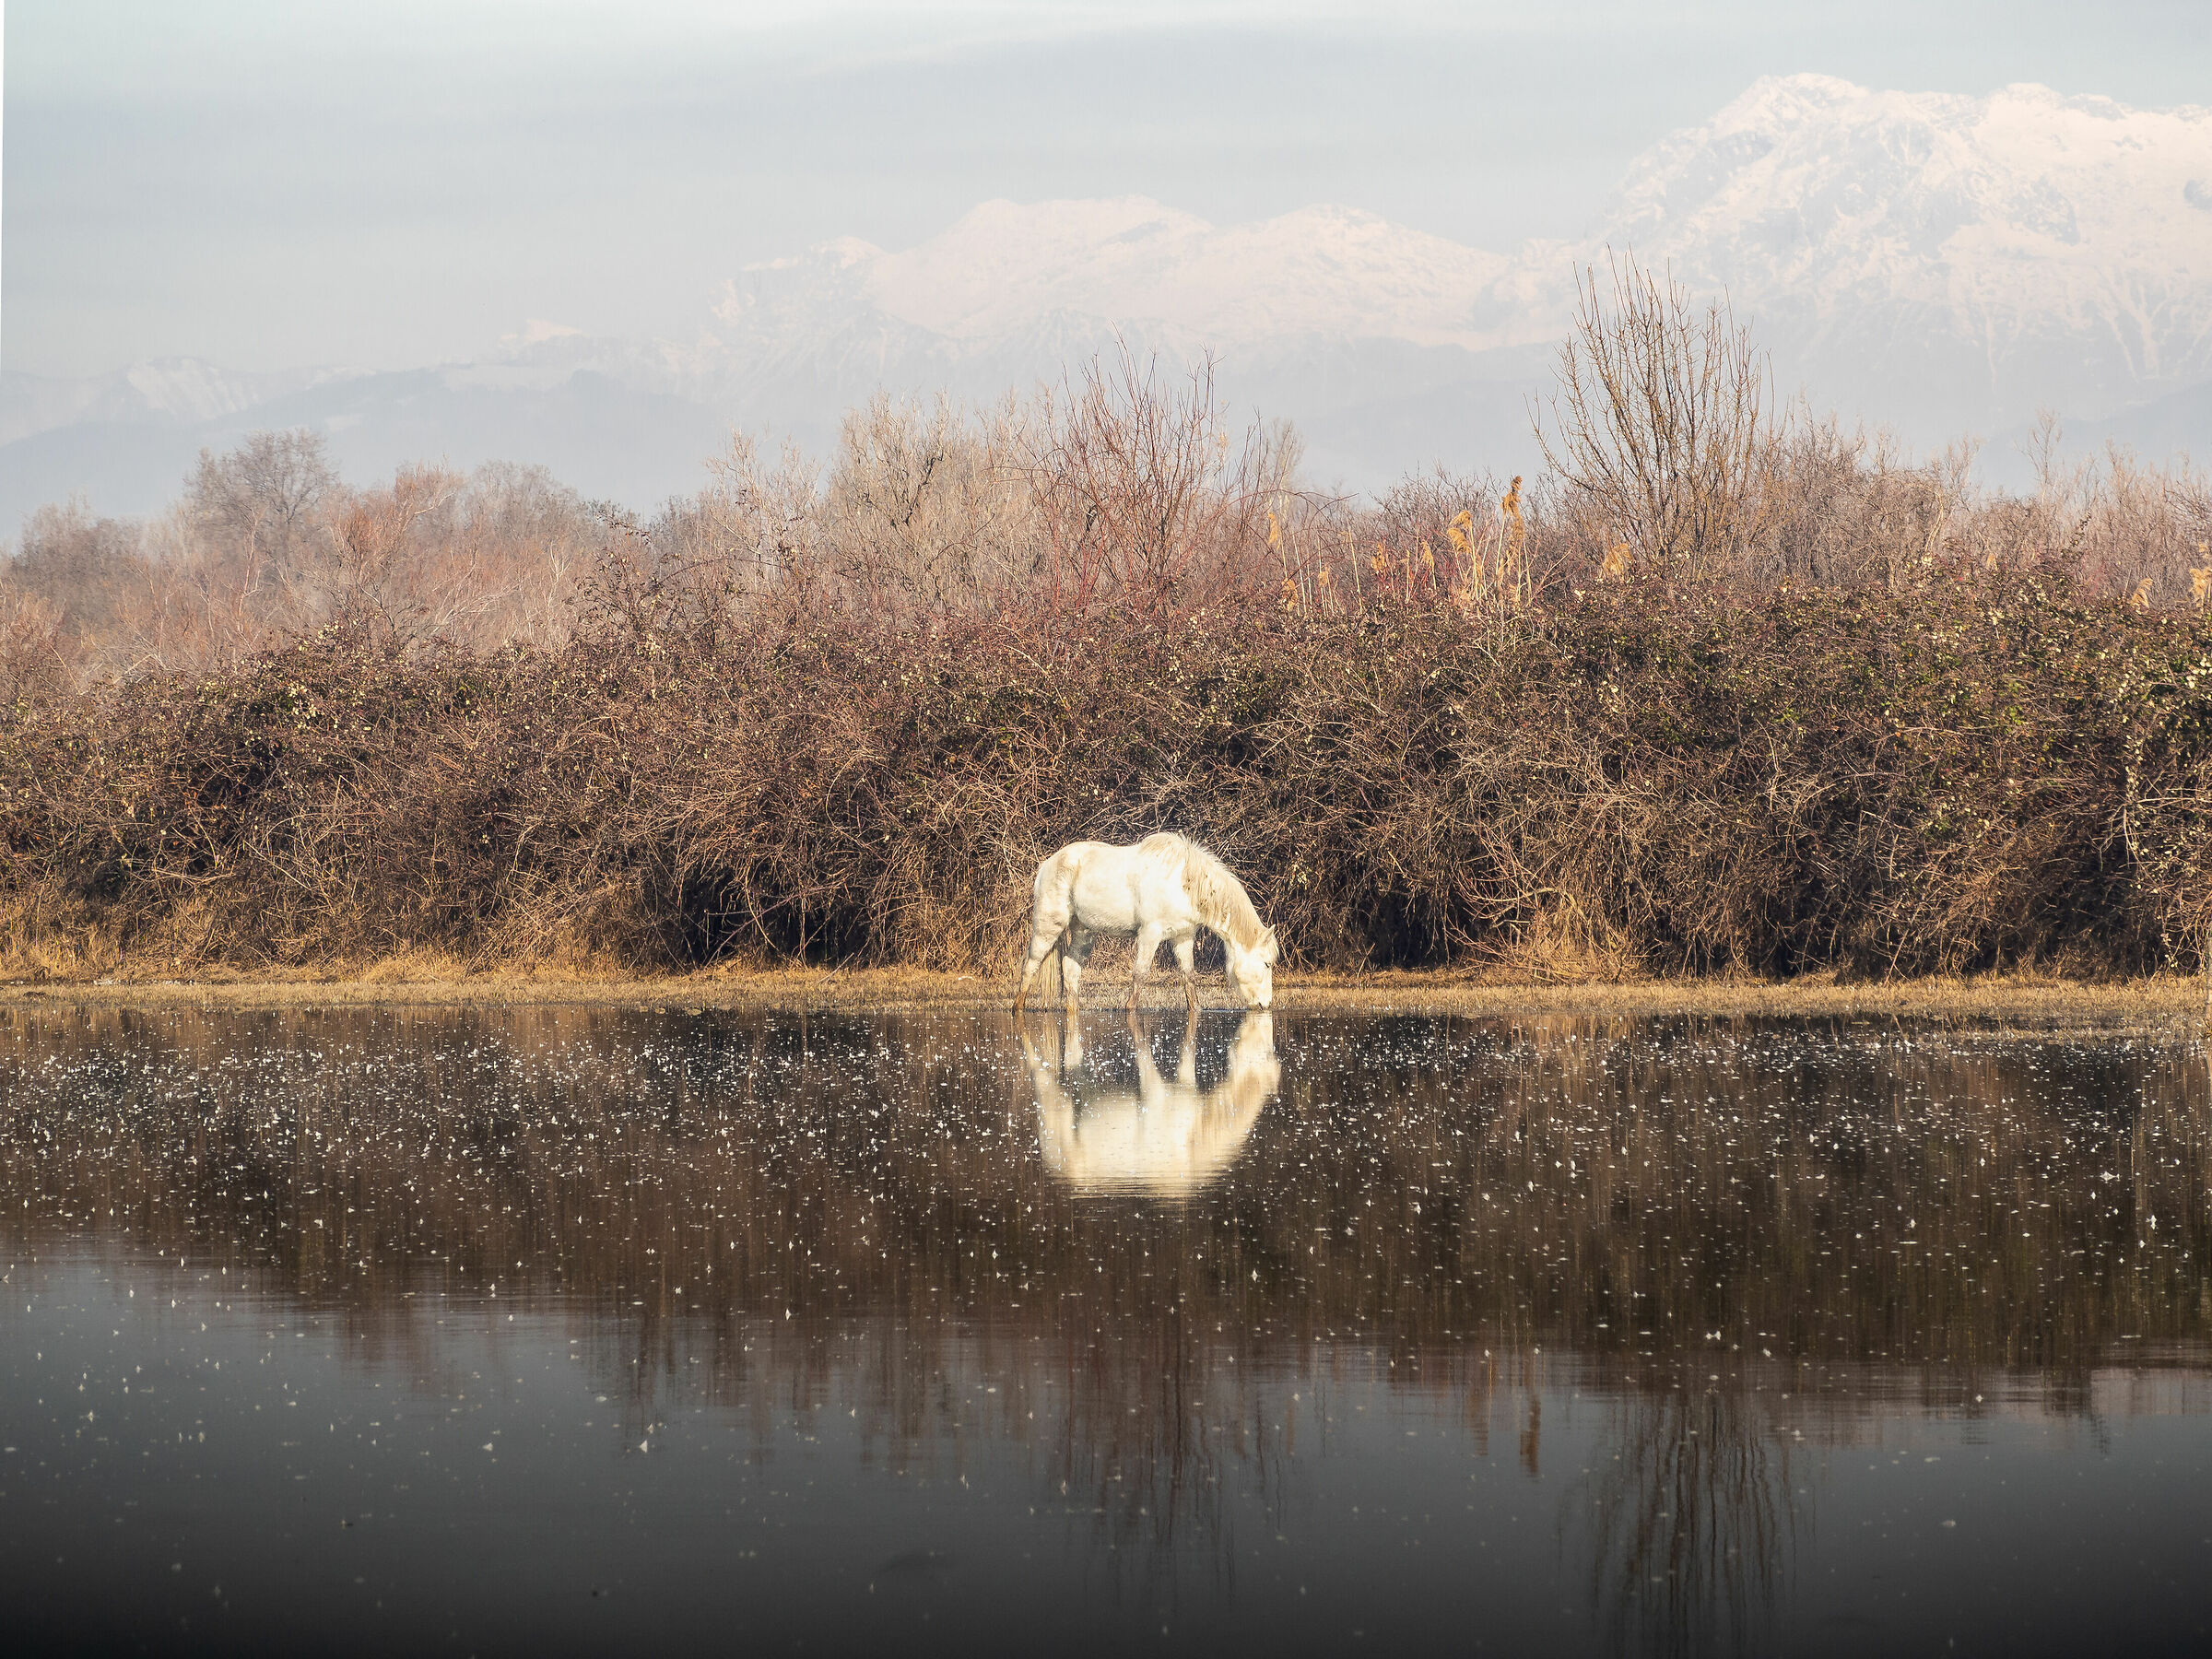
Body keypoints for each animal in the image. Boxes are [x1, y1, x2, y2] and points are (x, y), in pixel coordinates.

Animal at [1011, 833, 1278, 1014]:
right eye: (1266, 964)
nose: (1265, 1004)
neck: (1183, 883)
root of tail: (1047, 865)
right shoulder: (1150, 934)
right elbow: (1140, 975)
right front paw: (1129, 1008)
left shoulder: (1183, 937)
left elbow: (1189, 977)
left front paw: (1196, 1009)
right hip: (1048, 926)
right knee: (1030, 965)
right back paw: (1017, 1008)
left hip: (1084, 930)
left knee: (1070, 968)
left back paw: (1073, 1010)